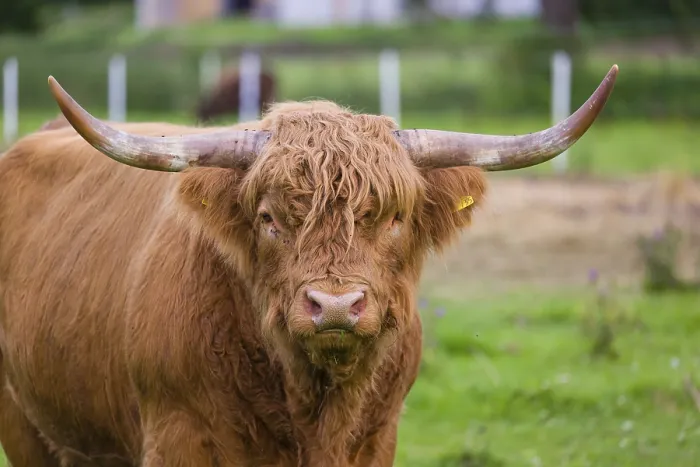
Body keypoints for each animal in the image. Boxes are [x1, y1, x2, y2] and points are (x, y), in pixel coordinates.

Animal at [0, 65, 618, 466]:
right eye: (270, 218)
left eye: (394, 217)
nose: (336, 306)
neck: (314, 406)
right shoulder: (179, 437)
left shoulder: (378, 440)